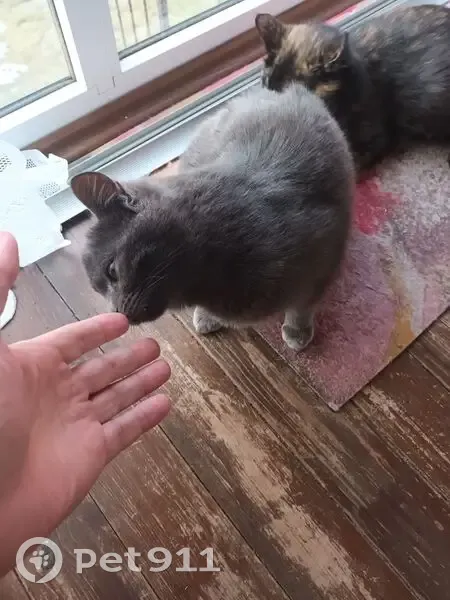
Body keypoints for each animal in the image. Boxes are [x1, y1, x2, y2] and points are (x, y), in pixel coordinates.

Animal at [70, 83, 354, 351]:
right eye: (97, 289)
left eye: (112, 271)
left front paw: (297, 331)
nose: (118, 313)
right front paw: (207, 317)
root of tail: (287, 91)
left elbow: (304, 303)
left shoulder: (325, 249)